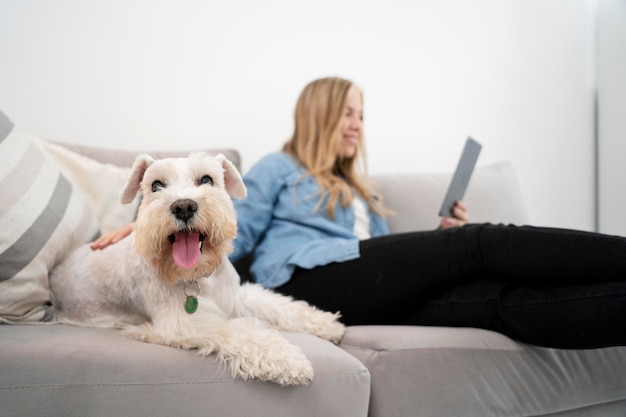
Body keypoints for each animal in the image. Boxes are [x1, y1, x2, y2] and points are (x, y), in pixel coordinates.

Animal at [50, 151, 344, 386]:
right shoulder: (184, 323)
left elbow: (278, 306)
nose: (183, 206)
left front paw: (327, 324)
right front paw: (287, 362)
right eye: (156, 185)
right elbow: (241, 330)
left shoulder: (237, 297)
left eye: (206, 180)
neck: (198, 277)